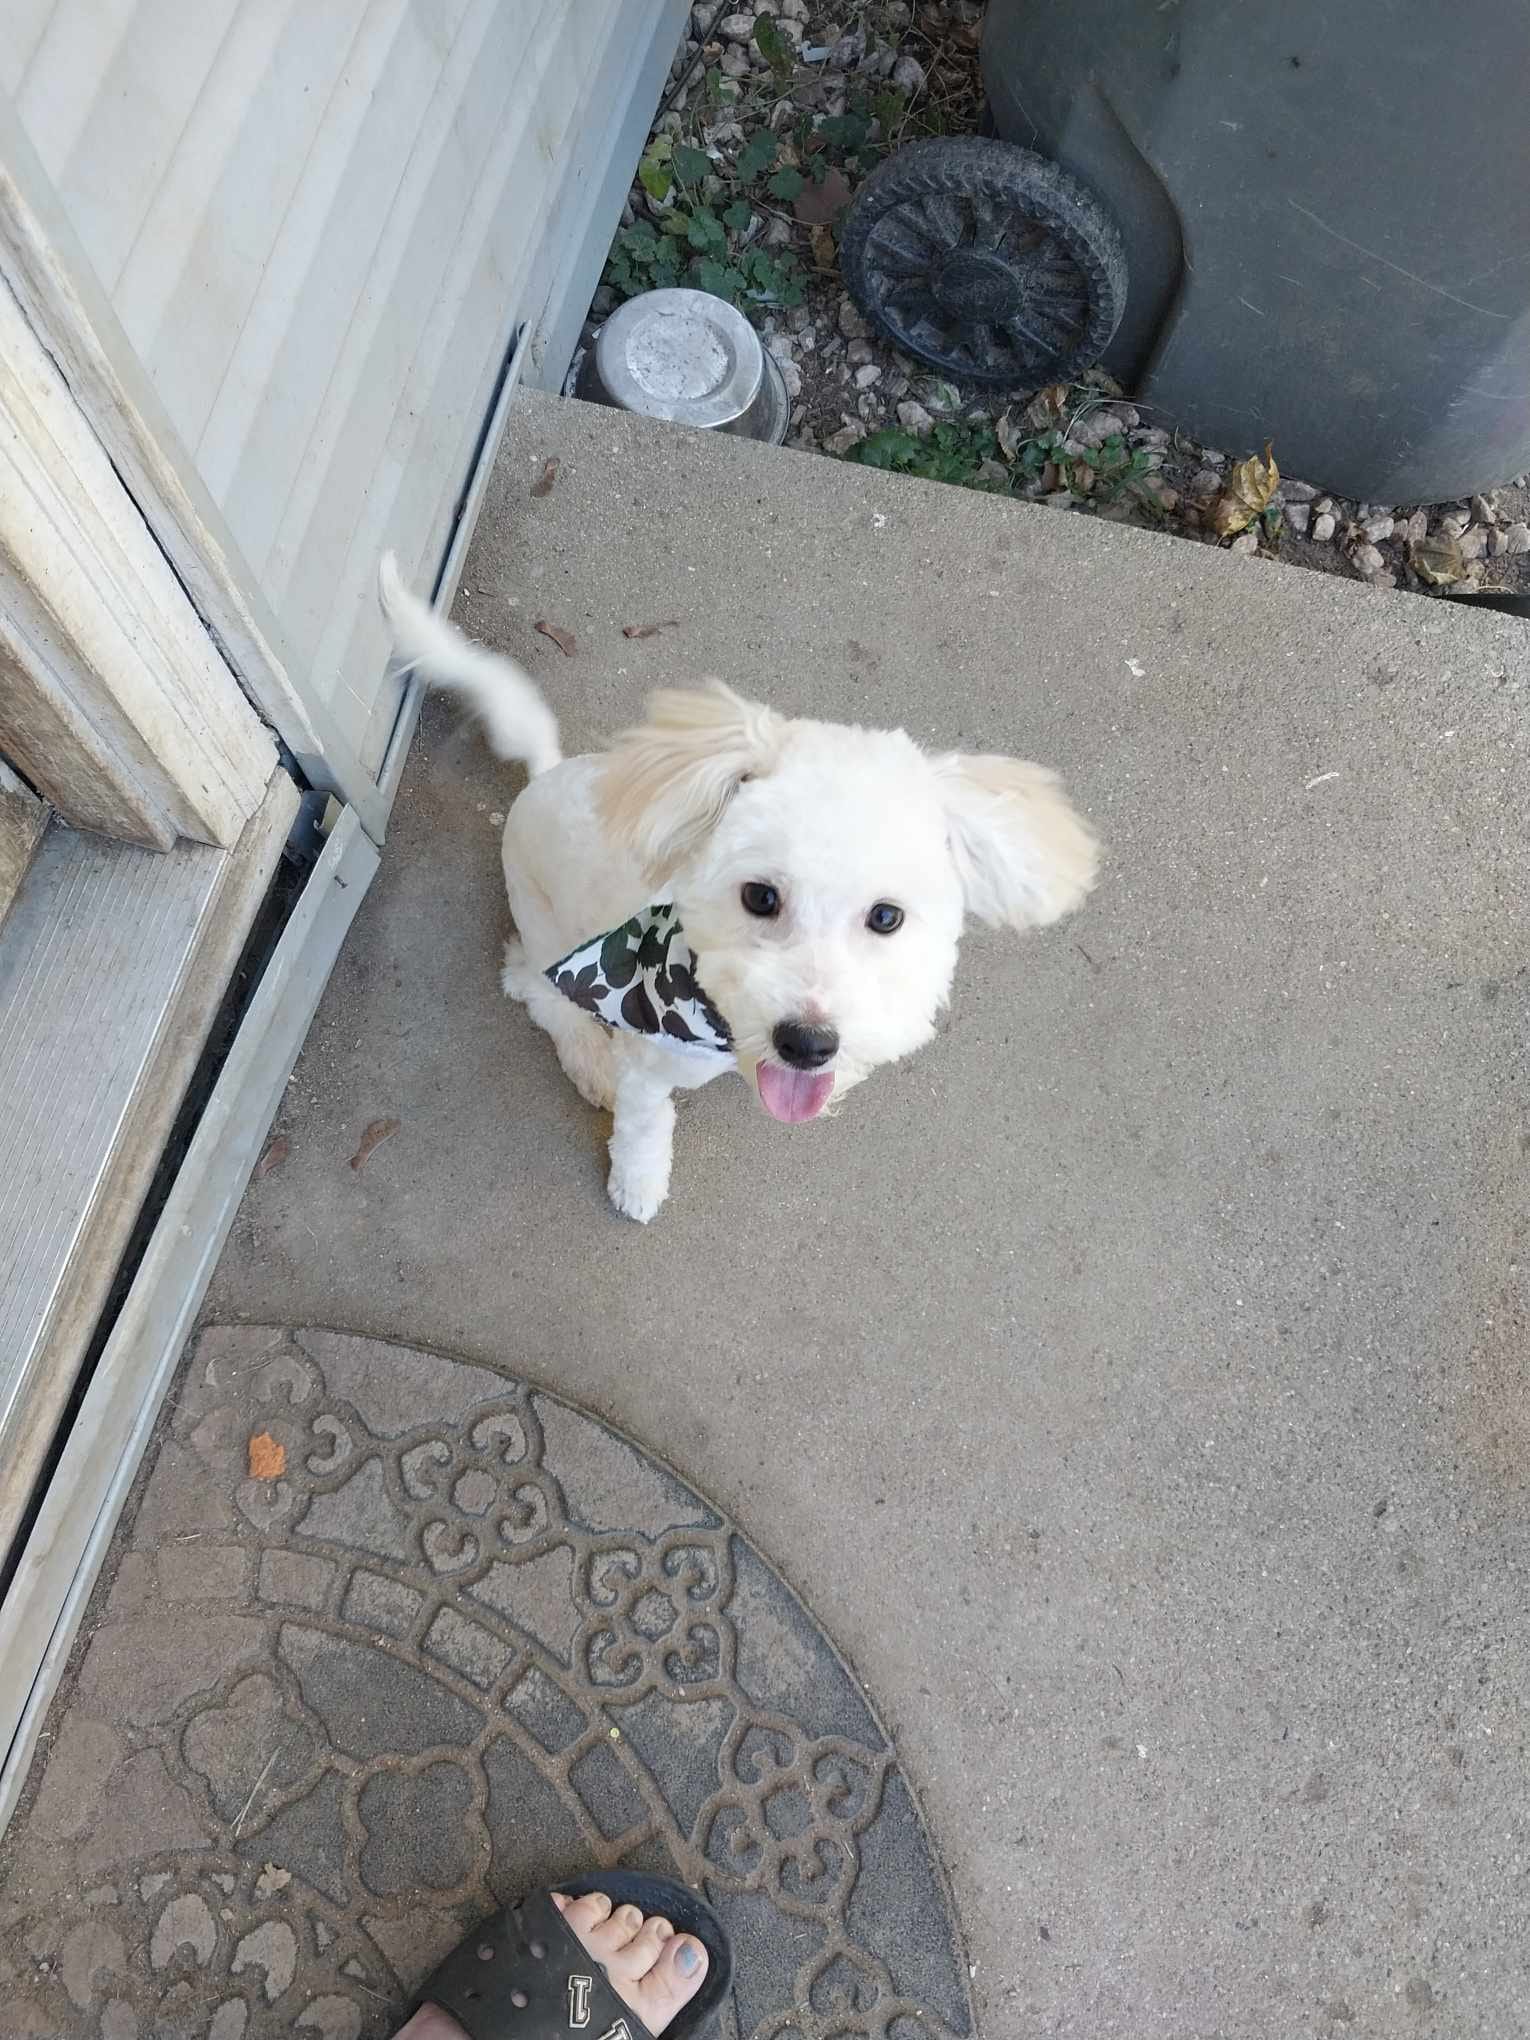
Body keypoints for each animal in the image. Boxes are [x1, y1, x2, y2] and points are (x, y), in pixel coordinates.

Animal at [383, 558, 1101, 1215]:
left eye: (887, 917)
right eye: (760, 896)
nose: (808, 1046)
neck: (718, 1018)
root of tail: (544, 774)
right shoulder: (647, 1068)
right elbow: (644, 1129)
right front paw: (637, 1184)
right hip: (543, 927)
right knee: (531, 986)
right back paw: (589, 1060)